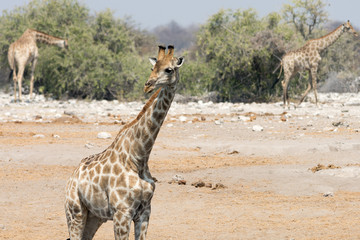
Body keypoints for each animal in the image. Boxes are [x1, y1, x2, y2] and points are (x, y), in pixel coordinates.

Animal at [63, 45, 184, 240]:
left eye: (169, 69)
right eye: (152, 67)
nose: (147, 85)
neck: (139, 157)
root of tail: (71, 178)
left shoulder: (145, 211)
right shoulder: (122, 212)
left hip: (94, 216)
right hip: (75, 211)